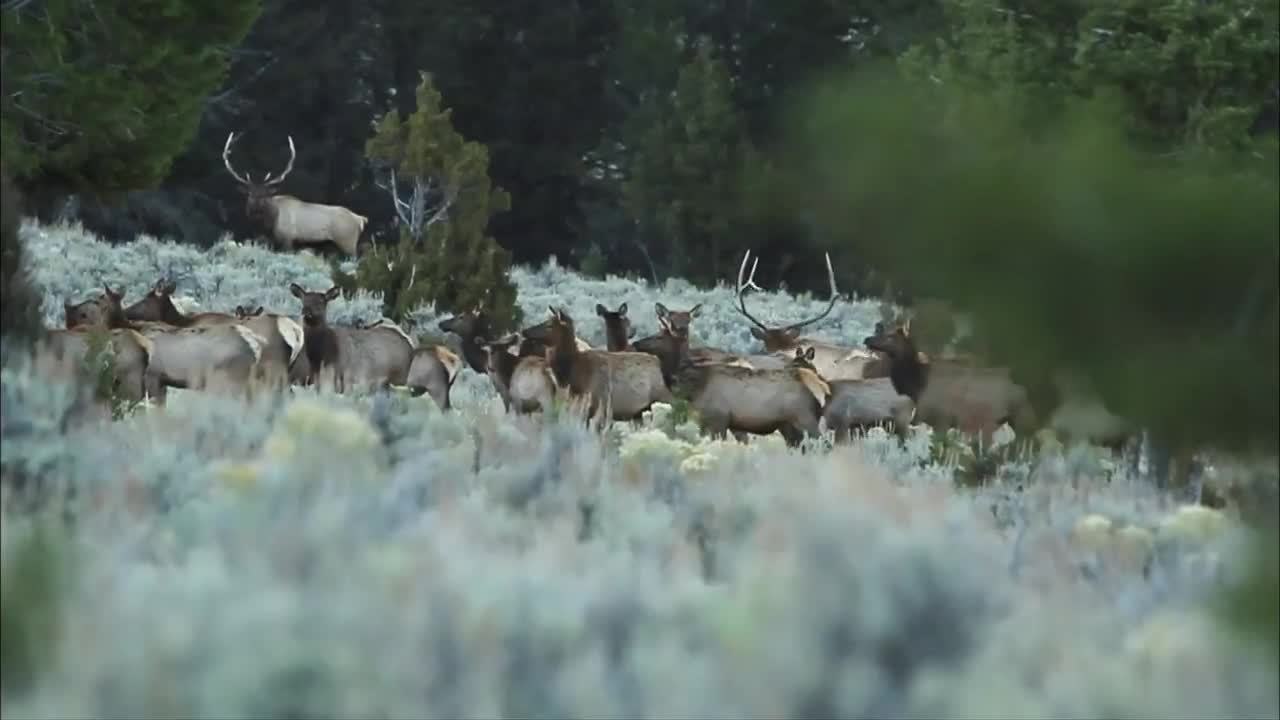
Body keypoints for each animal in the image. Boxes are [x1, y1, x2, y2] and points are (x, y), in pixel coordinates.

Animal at [223, 132, 368, 257]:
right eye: (250, 194)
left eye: (265, 195)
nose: (254, 209)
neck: (270, 224)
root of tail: (360, 220)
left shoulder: (288, 239)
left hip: (348, 243)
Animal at [863, 319, 1038, 443]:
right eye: (880, 330)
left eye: (891, 337)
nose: (867, 339)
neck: (916, 385)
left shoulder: (941, 420)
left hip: (1019, 419)